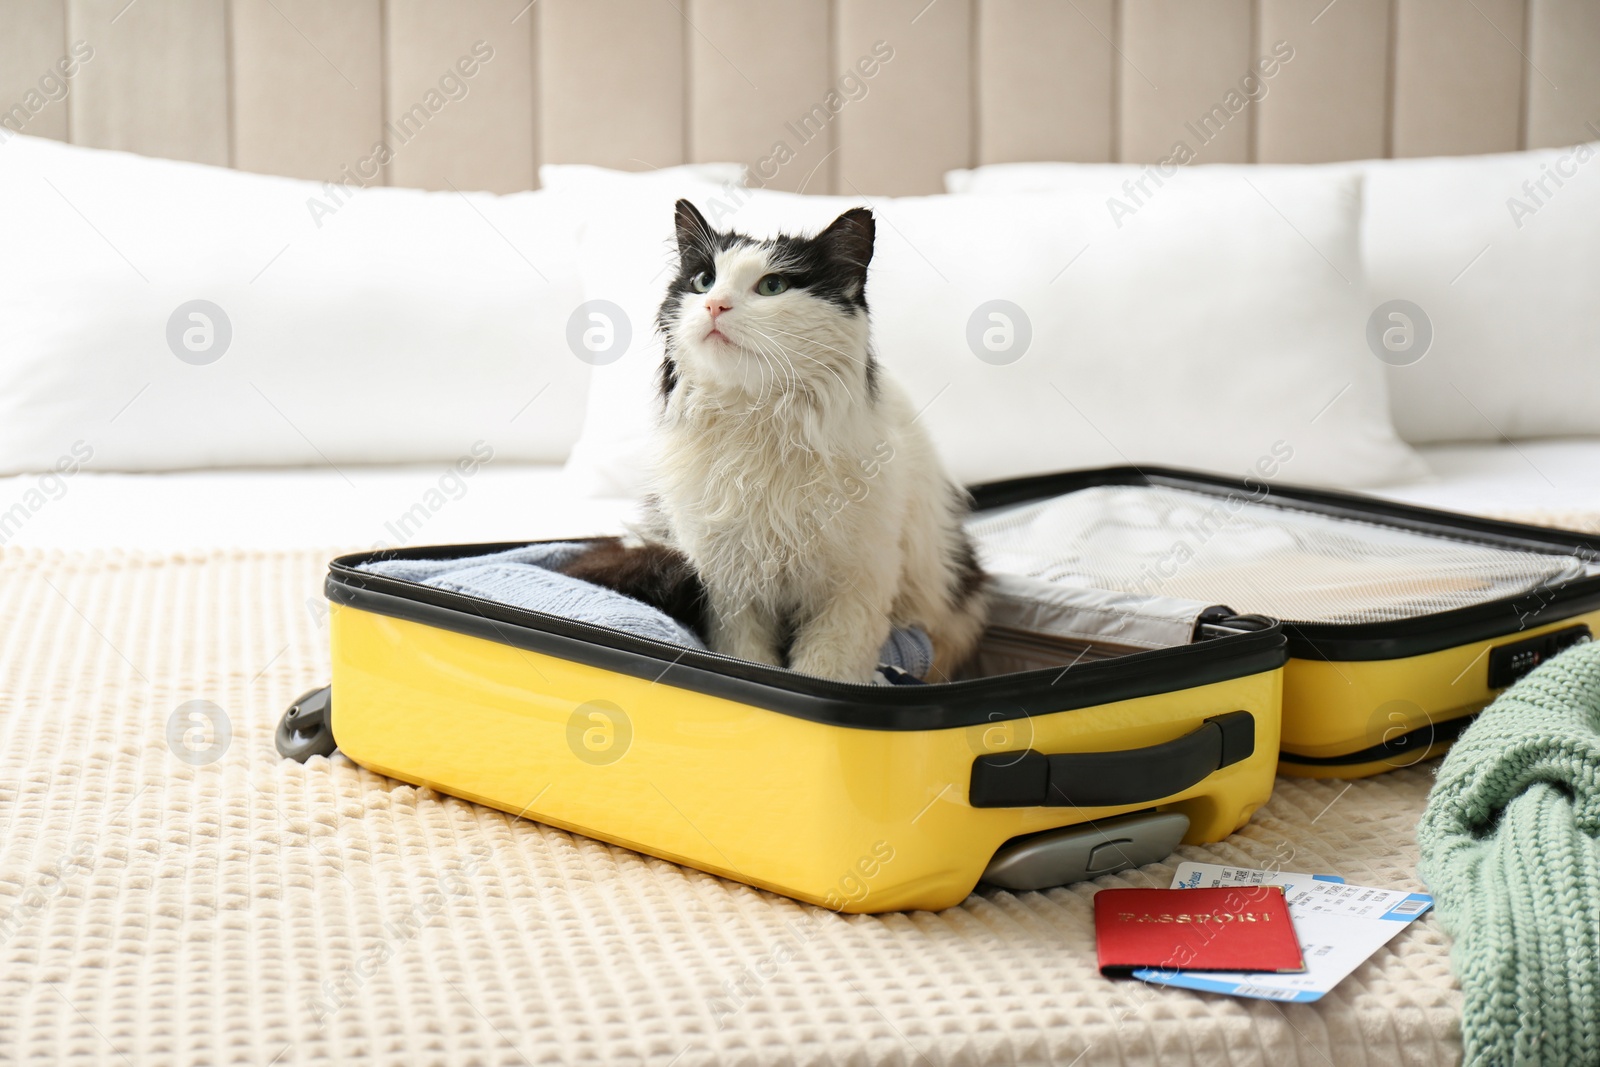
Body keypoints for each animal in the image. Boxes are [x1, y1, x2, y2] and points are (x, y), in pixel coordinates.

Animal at [624, 199, 985, 684]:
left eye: (772, 286)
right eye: (704, 281)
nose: (715, 305)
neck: (757, 420)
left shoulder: (854, 587)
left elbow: (825, 671)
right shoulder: (732, 592)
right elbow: (749, 659)